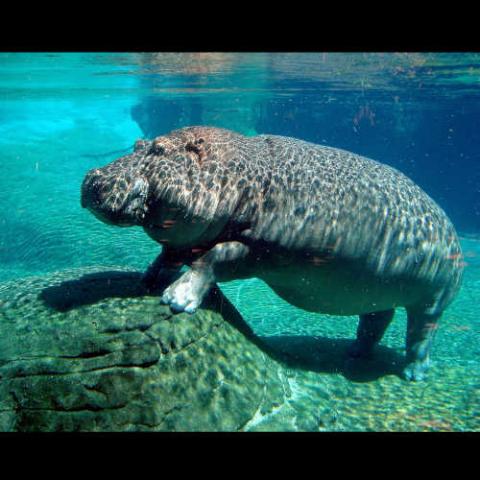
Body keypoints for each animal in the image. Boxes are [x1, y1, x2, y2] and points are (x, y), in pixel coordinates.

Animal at [82, 125, 464, 380]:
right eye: (139, 143)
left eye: (160, 150)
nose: (92, 176)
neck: (232, 173)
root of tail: (452, 229)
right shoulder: (187, 239)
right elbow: (167, 257)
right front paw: (145, 281)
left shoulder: (257, 251)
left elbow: (210, 260)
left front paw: (177, 299)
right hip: (376, 288)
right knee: (376, 318)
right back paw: (354, 353)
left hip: (433, 298)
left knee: (420, 334)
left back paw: (414, 373)